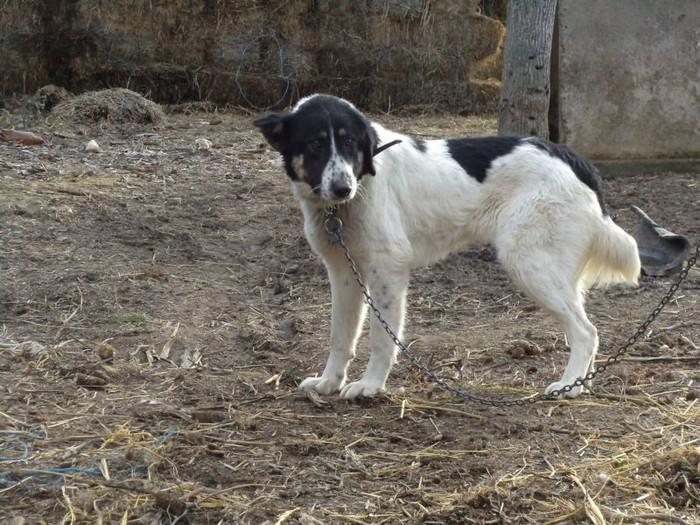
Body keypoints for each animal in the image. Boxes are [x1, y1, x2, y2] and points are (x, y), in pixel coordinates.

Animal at [254, 94, 644, 400]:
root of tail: (574, 160)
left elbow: (382, 339)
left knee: (585, 331)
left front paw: (371, 386)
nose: (342, 188)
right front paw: (329, 382)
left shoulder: (388, 272)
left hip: (530, 265)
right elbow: (340, 336)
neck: (351, 199)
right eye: (316, 144)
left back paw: (567, 385)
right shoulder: (343, 273)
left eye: (349, 143)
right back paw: (581, 383)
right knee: (587, 330)